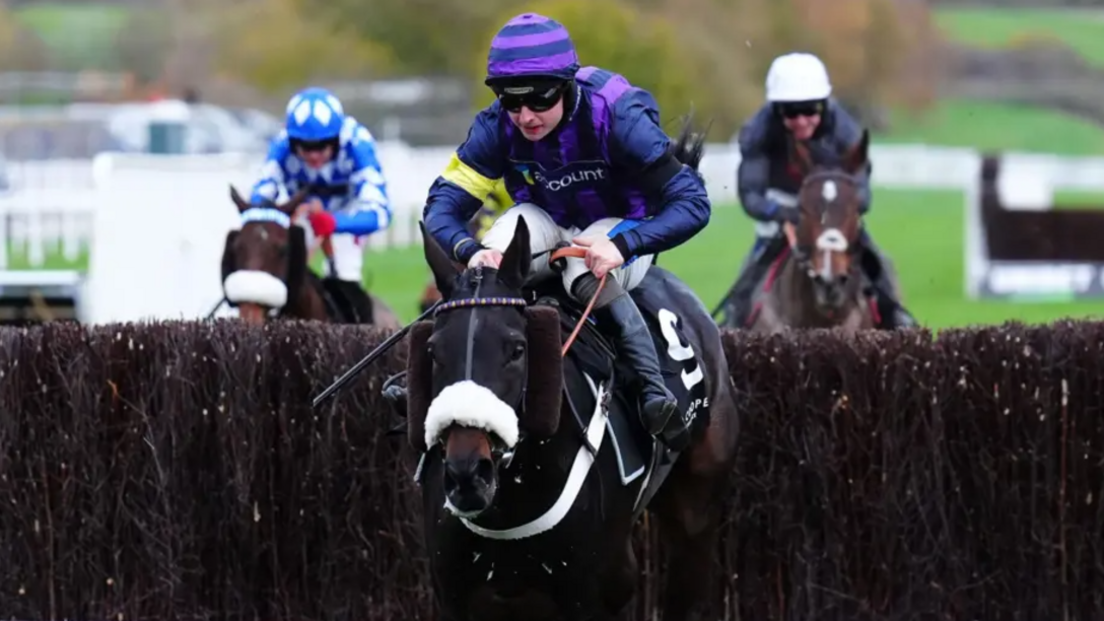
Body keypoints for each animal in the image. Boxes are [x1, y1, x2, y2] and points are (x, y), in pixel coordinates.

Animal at [399, 120, 741, 618]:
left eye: (517, 349)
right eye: (433, 350)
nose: (467, 473)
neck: (511, 505)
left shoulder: (601, 589)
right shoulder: (460, 594)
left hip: (697, 506)